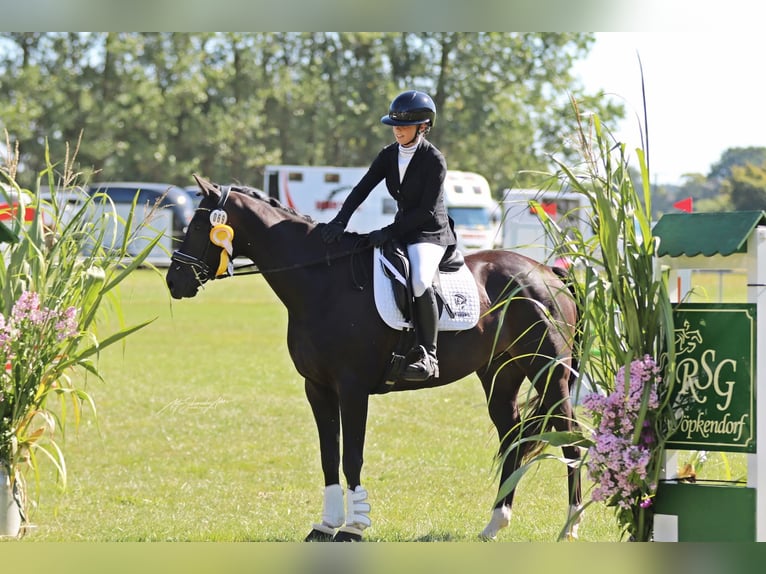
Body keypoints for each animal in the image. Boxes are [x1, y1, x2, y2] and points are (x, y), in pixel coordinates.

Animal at [165, 175, 582, 541]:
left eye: (199, 225)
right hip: (501, 374)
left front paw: (353, 528)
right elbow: (328, 456)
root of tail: (549, 274)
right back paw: (494, 524)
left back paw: (571, 526)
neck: (322, 282)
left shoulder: (352, 389)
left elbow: (352, 457)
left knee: (571, 437)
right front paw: (325, 526)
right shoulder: (317, 387)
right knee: (512, 437)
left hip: (551, 375)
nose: (174, 281)